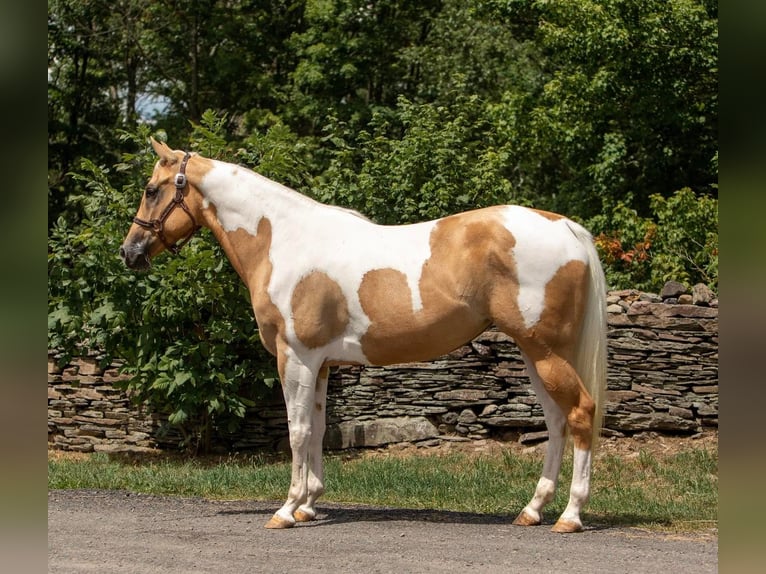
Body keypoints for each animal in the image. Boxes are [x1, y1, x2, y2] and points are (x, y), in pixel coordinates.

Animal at [120, 138, 608, 536]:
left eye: (150, 189)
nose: (129, 252)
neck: (283, 240)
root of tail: (564, 226)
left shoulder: (295, 357)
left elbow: (297, 430)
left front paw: (286, 509)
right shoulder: (320, 365)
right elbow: (317, 430)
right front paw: (309, 505)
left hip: (546, 352)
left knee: (580, 413)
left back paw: (570, 516)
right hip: (534, 354)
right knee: (556, 422)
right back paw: (532, 510)